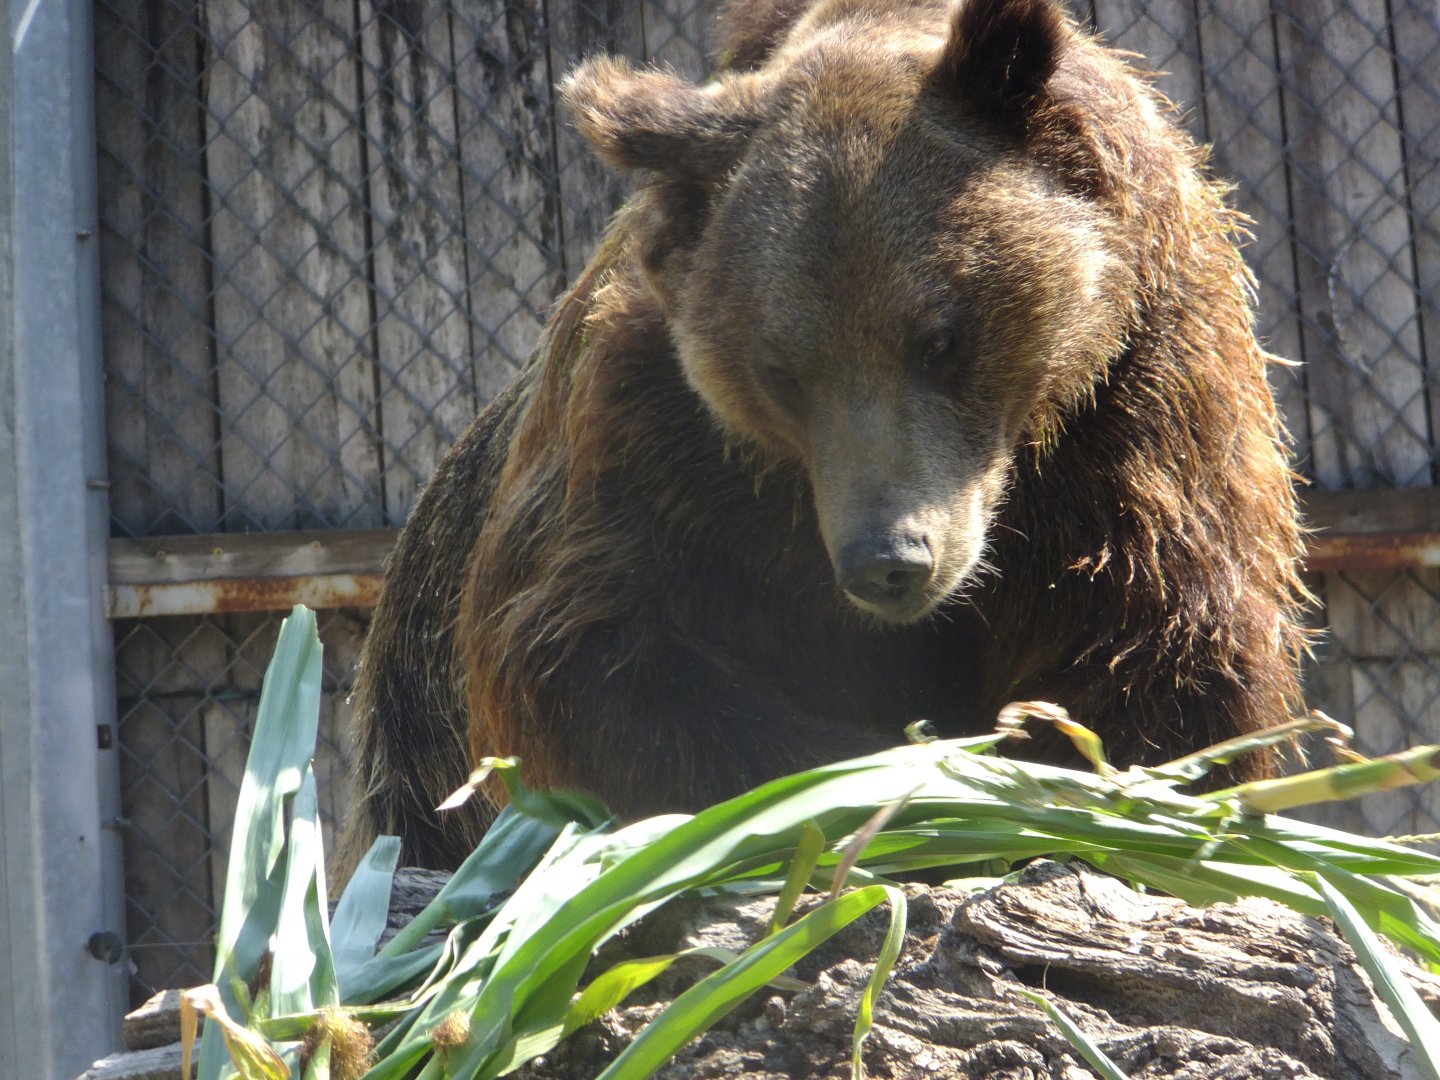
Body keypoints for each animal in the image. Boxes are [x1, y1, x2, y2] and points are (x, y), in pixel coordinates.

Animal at [334, 0, 1310, 880]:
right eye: (783, 368)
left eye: (939, 337)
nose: (890, 559)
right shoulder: (652, 431)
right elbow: (589, 652)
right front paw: (890, 778)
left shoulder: (1142, 395)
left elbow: (1162, 652)